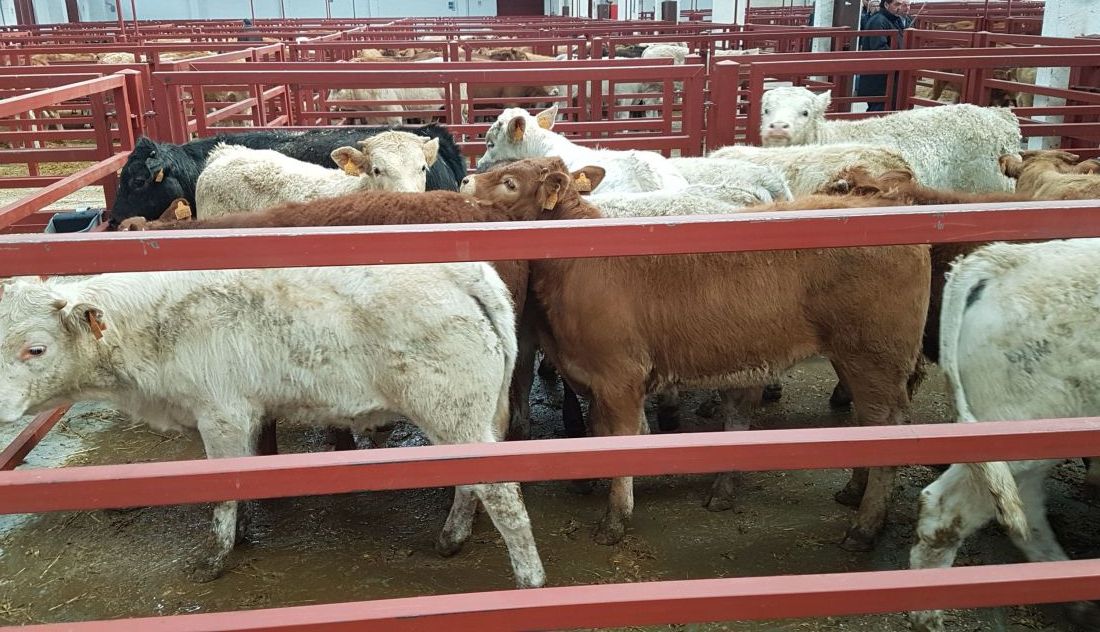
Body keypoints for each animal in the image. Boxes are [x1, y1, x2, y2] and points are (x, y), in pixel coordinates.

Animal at [0, 265, 545, 589]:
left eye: (36, 348)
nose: (3, 407)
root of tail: (464, 272)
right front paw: (239, 534)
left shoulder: (220, 414)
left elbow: (223, 488)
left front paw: (216, 556)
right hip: (467, 420)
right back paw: (452, 537)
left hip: (454, 411)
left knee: (505, 498)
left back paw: (530, 581)